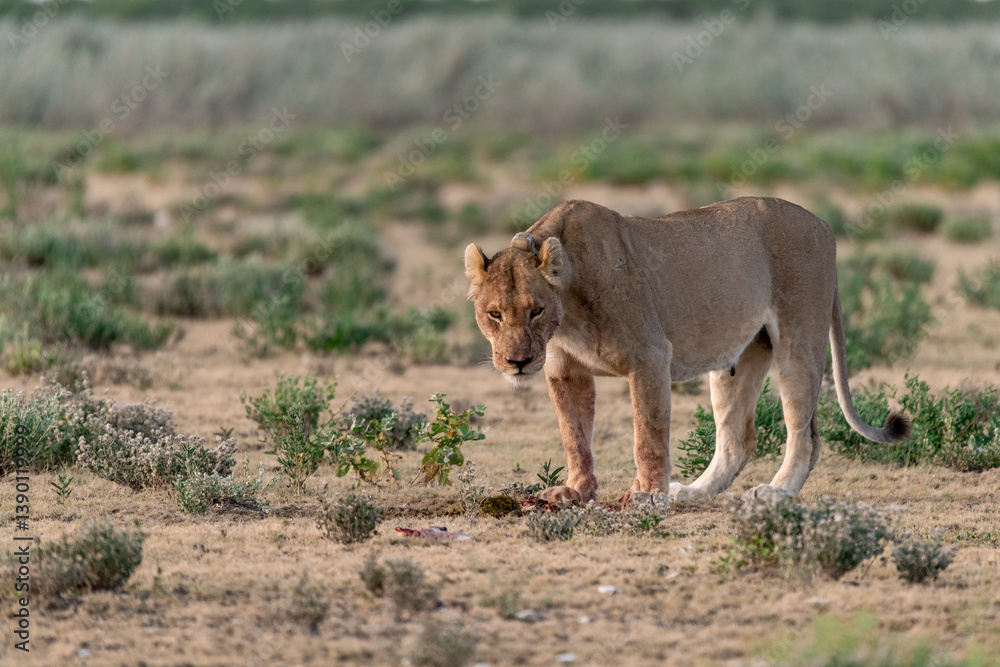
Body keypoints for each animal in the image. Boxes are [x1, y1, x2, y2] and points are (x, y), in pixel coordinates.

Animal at [464, 197, 910, 507]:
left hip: (799, 341)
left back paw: (775, 492)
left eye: (536, 310)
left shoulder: (649, 356)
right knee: (736, 441)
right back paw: (693, 493)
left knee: (807, 436)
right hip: (736, 361)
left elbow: (648, 435)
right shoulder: (564, 371)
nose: (518, 362)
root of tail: (824, 226)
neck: (568, 299)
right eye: (494, 314)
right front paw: (576, 491)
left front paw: (646, 495)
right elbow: (574, 436)